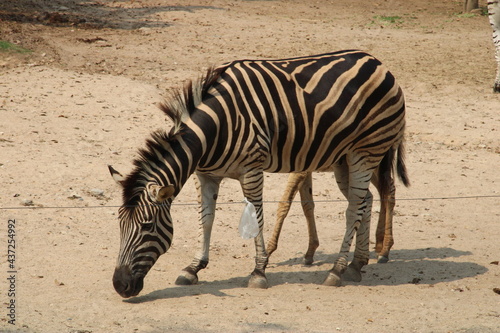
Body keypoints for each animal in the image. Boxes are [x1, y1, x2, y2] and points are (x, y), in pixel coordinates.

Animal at [266, 167, 398, 266]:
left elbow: (284, 203)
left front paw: (267, 251)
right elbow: (307, 205)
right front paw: (310, 251)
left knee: (389, 188)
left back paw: (385, 250)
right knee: (382, 190)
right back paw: (379, 245)